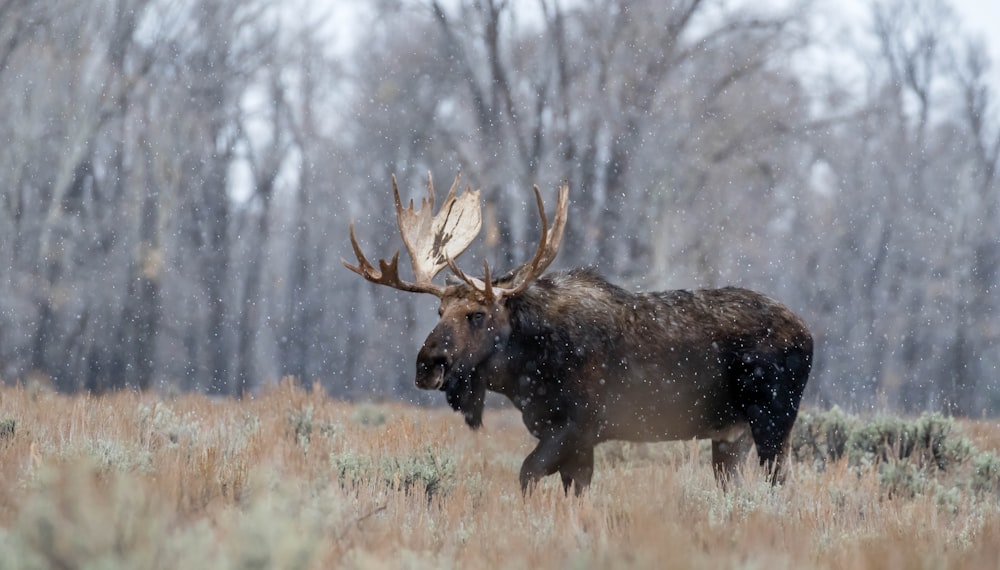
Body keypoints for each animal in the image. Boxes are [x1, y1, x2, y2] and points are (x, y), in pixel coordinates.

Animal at [344, 172, 812, 492]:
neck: (523, 373)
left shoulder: (576, 428)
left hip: (773, 421)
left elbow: (527, 474)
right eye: (439, 309)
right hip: (731, 436)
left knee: (781, 484)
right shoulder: (571, 440)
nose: (427, 366)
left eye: (477, 314)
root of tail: (808, 333)